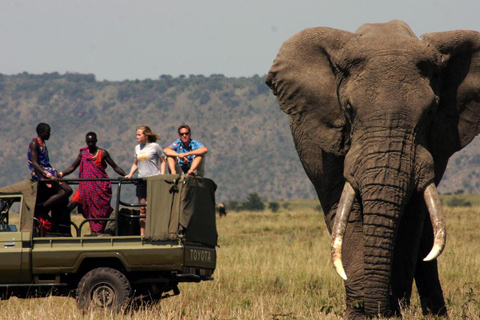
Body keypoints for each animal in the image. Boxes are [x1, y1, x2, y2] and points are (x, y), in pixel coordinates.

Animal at [266, 21, 480, 318]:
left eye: (430, 113)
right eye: (348, 109)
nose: (379, 310)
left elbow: (409, 219)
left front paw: (393, 311)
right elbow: (348, 213)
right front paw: (361, 313)